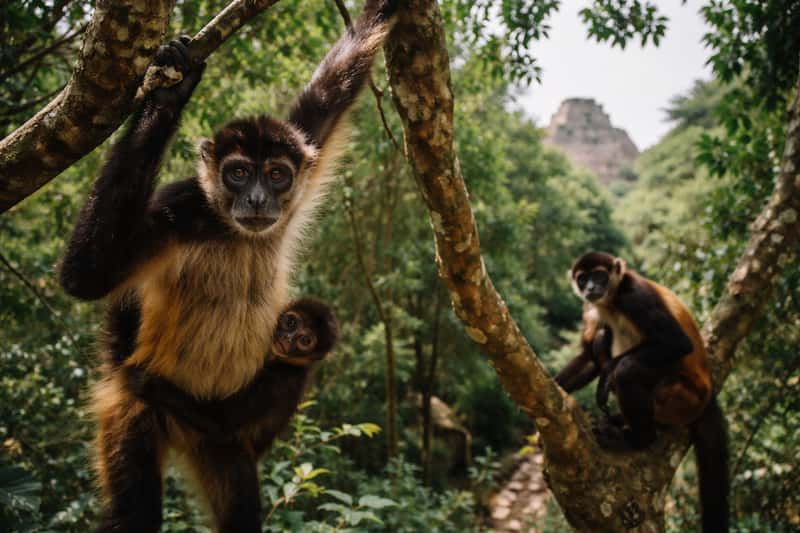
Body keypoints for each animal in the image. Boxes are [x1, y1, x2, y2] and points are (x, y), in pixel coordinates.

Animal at [125, 298, 338, 443]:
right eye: (291, 323)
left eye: (305, 341)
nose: (288, 339)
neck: (289, 363)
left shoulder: (281, 379)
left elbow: (222, 425)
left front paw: (150, 385)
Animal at [554, 251, 729, 532]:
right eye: (583, 279)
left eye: (599, 276)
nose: (590, 288)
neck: (611, 302)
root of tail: (707, 396)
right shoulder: (591, 308)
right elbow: (589, 357)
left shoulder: (634, 294)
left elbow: (677, 343)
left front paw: (608, 373)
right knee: (602, 335)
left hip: (680, 396)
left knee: (627, 370)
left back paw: (638, 437)